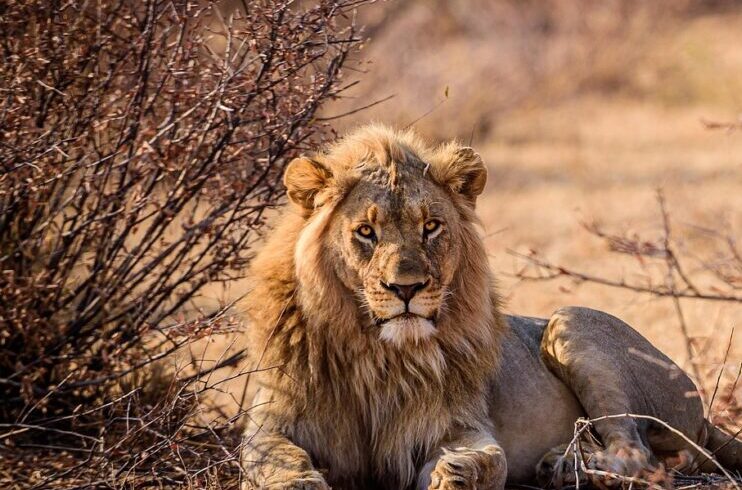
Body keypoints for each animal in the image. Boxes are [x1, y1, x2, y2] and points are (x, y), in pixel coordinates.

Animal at [239, 124, 742, 489]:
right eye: (366, 231)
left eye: (431, 227)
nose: (407, 288)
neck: (376, 353)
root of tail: (702, 414)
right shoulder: (271, 421)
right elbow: (273, 458)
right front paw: (297, 482)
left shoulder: (460, 424)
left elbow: (488, 458)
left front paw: (455, 475)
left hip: (570, 322)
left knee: (638, 453)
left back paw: (567, 467)